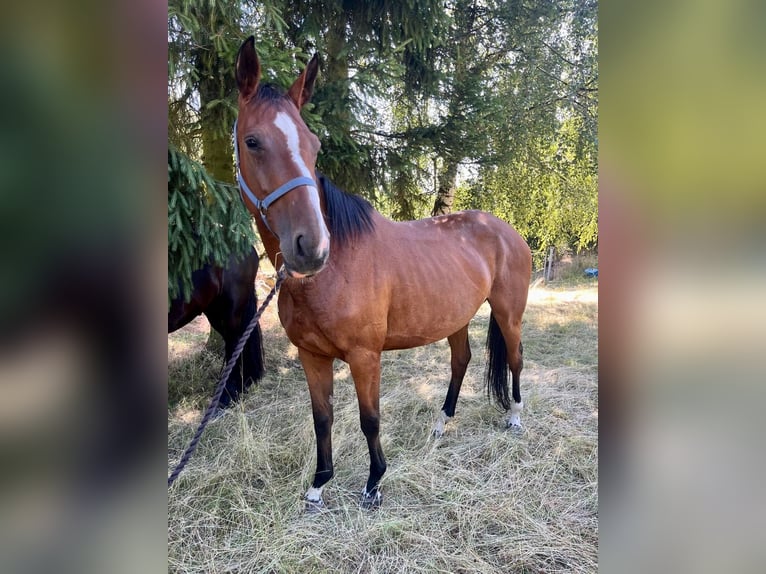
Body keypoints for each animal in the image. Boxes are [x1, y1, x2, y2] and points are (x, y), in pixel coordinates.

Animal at [233, 36, 532, 508]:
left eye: (314, 146)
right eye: (252, 141)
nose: (312, 247)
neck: (333, 272)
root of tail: (507, 230)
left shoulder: (364, 356)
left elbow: (369, 418)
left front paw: (373, 484)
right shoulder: (311, 357)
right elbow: (322, 419)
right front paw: (319, 485)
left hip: (508, 314)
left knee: (516, 360)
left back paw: (515, 417)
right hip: (456, 317)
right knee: (461, 361)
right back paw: (441, 424)